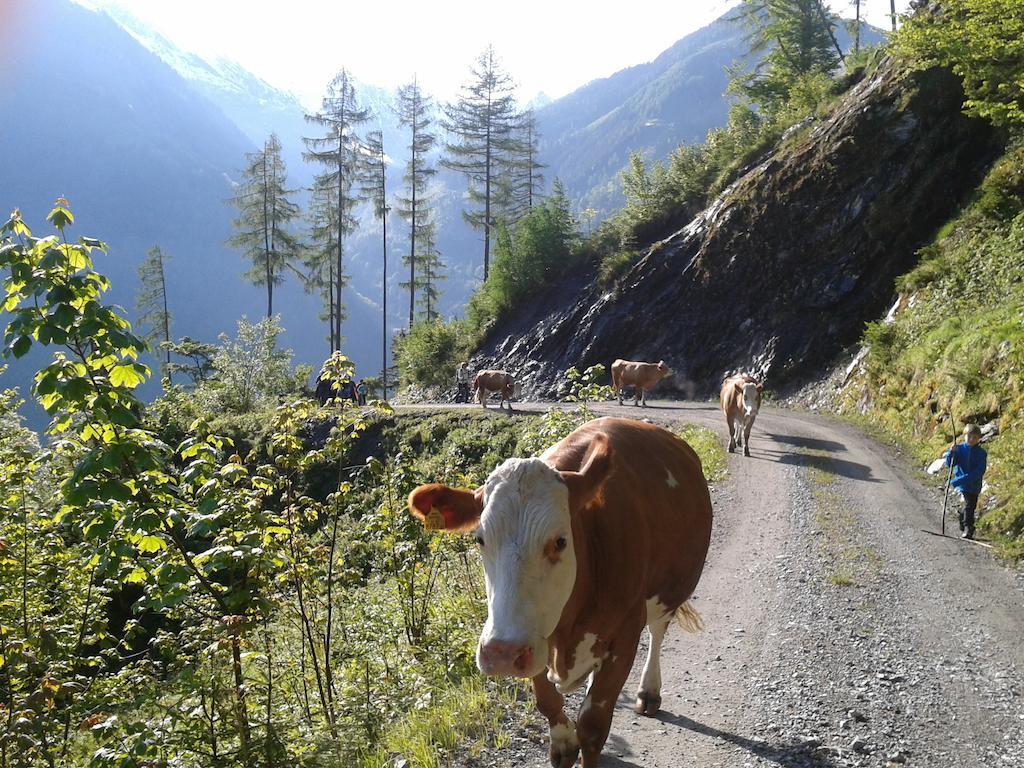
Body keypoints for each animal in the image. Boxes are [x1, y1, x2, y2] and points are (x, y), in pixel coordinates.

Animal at [405, 421, 712, 768]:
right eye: (480, 539)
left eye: (560, 541)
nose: (501, 653)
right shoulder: (536, 637)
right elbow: (548, 705)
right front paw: (563, 742)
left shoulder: (626, 633)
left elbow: (593, 725)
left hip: (672, 588)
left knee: (658, 630)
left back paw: (649, 691)